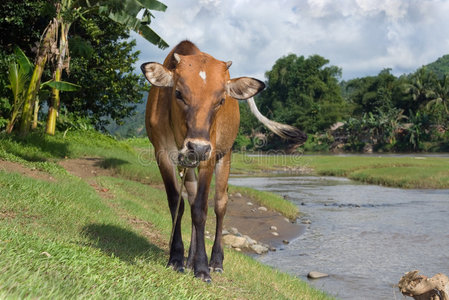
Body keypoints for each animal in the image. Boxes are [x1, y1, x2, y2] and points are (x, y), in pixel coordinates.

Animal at [142, 39, 306, 282]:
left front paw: (202, 268)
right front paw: (176, 259)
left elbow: (201, 209)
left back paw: (216, 262)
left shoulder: (209, 158)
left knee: (220, 205)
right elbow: (177, 205)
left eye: (220, 100)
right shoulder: (162, 154)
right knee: (191, 199)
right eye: (178, 93)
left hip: (224, 155)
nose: (197, 147)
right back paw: (189, 259)